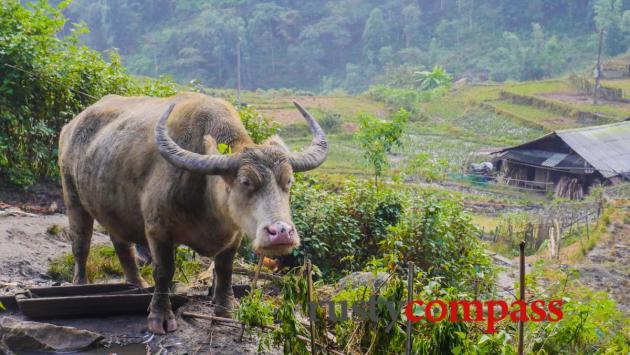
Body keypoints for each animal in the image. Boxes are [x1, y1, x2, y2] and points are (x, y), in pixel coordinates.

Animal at [58, 94, 330, 334]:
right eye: (245, 182)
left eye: (289, 181)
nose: (281, 233)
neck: (207, 192)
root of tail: (71, 126)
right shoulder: (158, 230)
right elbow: (164, 271)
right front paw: (160, 317)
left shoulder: (234, 235)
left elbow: (225, 269)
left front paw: (226, 309)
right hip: (72, 195)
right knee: (81, 244)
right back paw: (80, 284)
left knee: (121, 244)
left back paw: (137, 284)